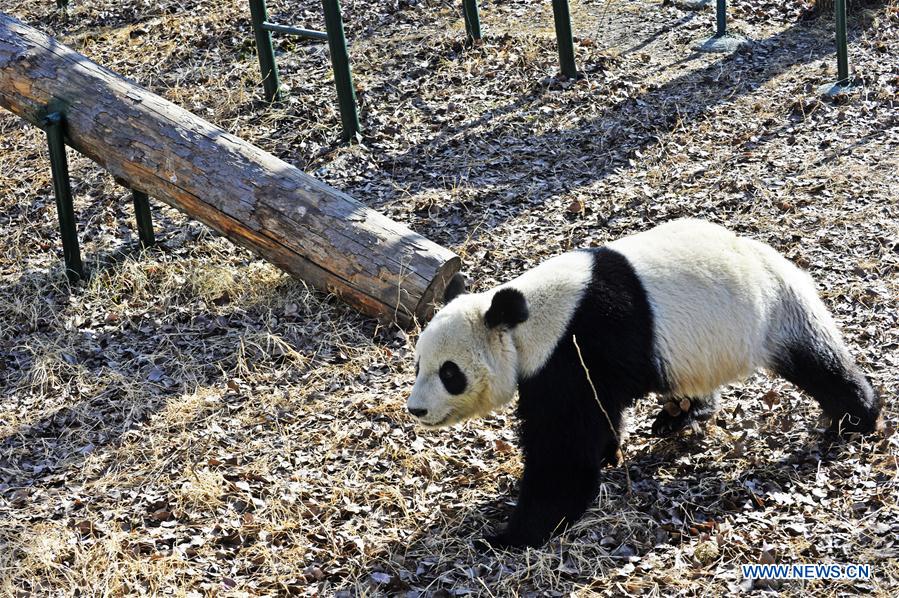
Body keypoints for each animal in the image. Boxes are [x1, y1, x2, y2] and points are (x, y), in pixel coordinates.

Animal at [410, 219, 884, 548]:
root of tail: (779, 261)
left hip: (769, 312)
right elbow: (596, 419)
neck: (523, 320)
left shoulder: (577, 344)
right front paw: (608, 452)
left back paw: (857, 416)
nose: (416, 409)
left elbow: (563, 447)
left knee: (818, 361)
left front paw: (512, 534)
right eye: (418, 366)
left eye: (449, 372)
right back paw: (679, 414)